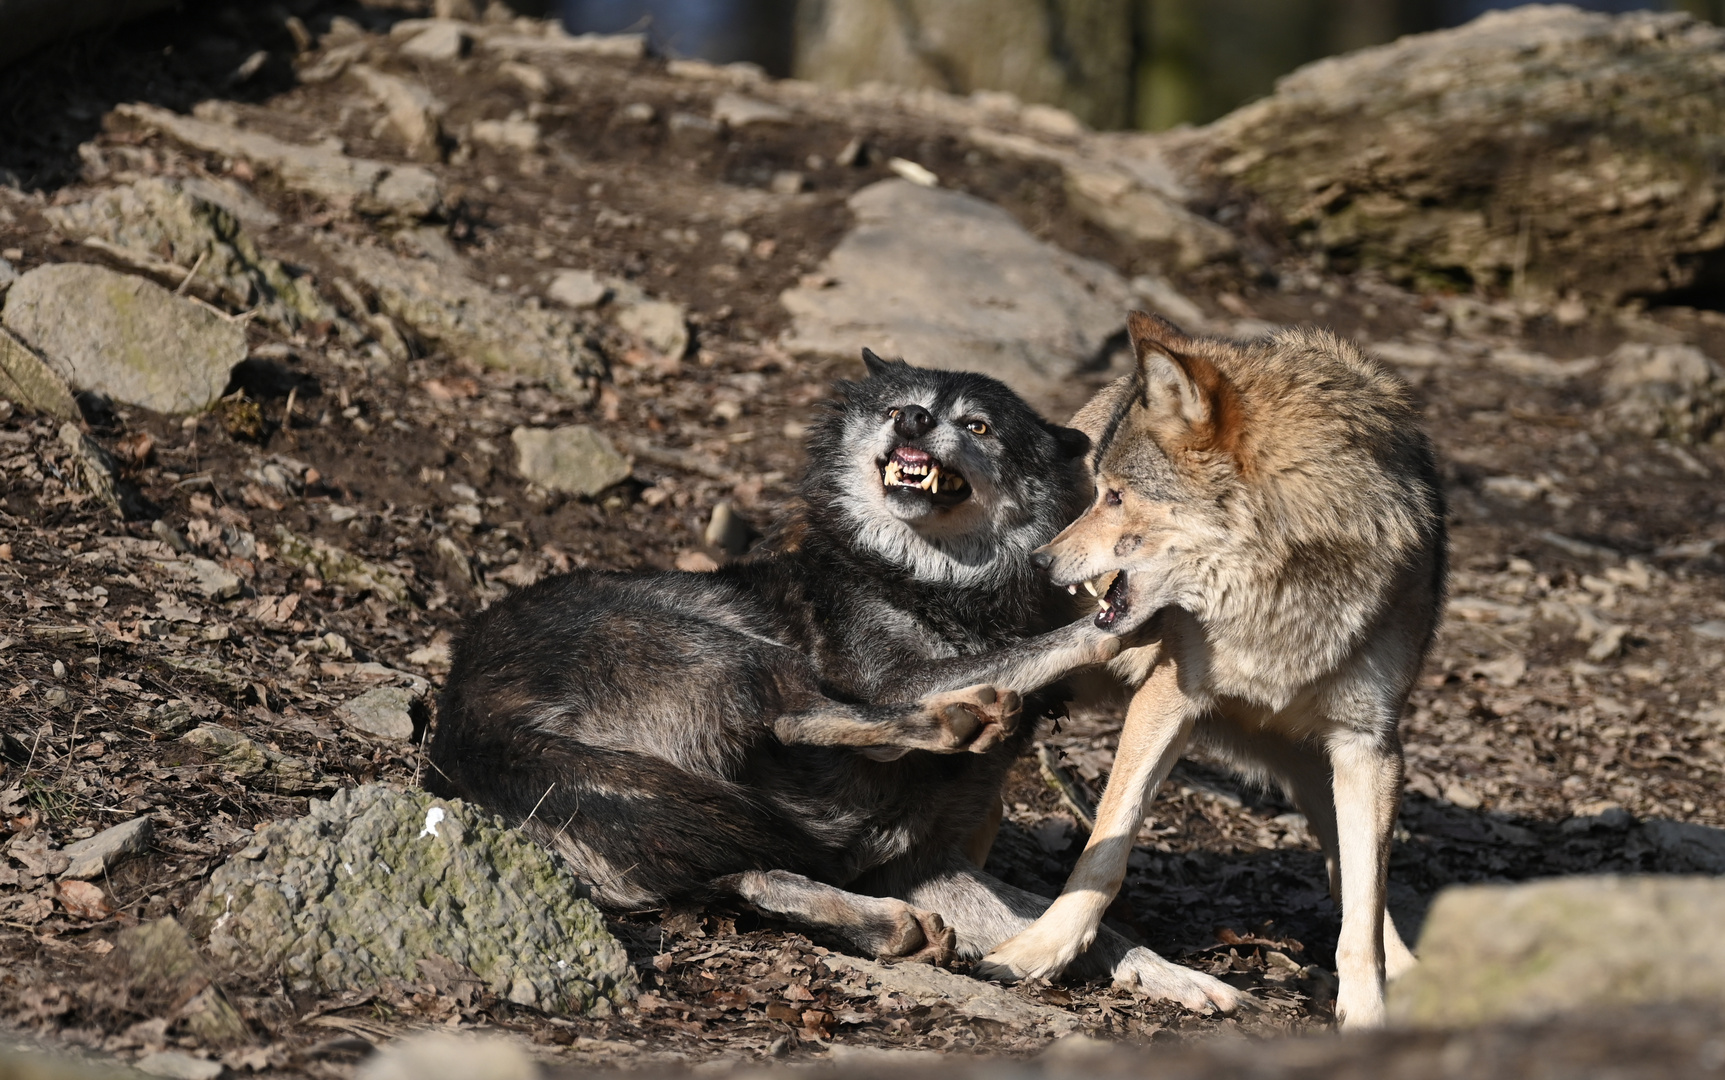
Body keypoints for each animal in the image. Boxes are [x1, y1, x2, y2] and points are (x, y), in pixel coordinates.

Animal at [427, 351, 1242, 1007]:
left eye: (977, 426)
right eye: (899, 406)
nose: (914, 419)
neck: (922, 584)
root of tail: (468, 710)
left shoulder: (920, 867)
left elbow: (1088, 929)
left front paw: (1179, 979)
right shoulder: (905, 681)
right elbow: (1051, 644)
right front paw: (1152, 608)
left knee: (743, 873)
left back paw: (882, 925)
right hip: (730, 647)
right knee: (795, 720)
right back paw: (950, 725)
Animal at [979, 310, 1449, 1028]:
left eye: (1117, 497)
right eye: (1097, 491)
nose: (1039, 561)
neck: (1278, 605)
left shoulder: (1370, 746)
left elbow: (1363, 909)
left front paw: (1368, 1012)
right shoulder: (1167, 697)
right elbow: (1107, 846)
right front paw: (1040, 949)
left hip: (1319, 767)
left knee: (1352, 879)